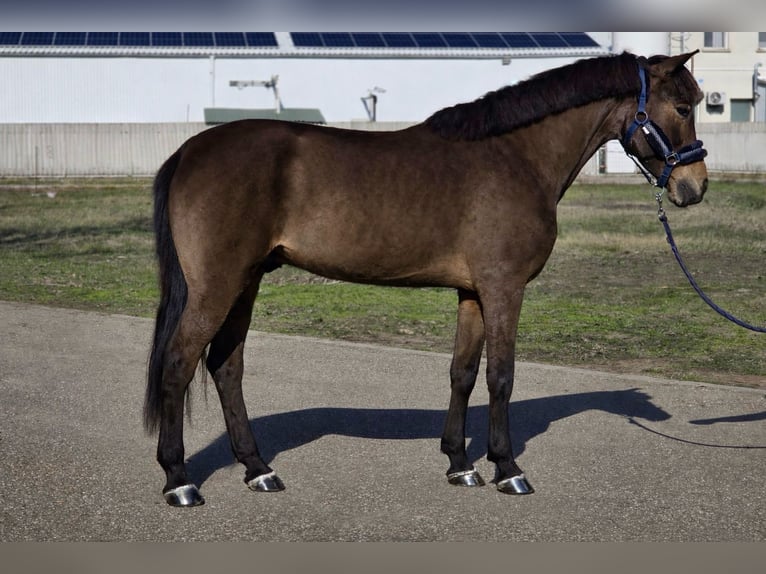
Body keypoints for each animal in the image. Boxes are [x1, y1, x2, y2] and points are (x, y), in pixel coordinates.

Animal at [144, 51, 708, 507]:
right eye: (683, 107)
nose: (694, 186)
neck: (516, 156)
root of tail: (189, 152)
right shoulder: (504, 289)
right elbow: (501, 377)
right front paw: (508, 469)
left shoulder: (473, 293)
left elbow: (463, 373)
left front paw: (461, 465)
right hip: (217, 287)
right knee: (179, 362)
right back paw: (179, 481)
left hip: (246, 282)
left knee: (226, 366)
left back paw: (258, 470)